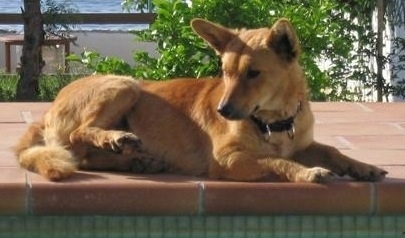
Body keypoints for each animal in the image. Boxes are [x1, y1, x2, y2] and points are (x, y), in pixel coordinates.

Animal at [13, 18, 386, 182]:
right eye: (225, 72)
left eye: (253, 73)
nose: (222, 110)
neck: (273, 123)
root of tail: (45, 112)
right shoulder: (228, 161)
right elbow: (274, 161)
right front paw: (308, 173)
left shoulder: (303, 142)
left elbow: (331, 150)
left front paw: (362, 167)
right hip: (124, 85)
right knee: (80, 137)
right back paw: (118, 140)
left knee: (84, 156)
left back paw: (138, 160)